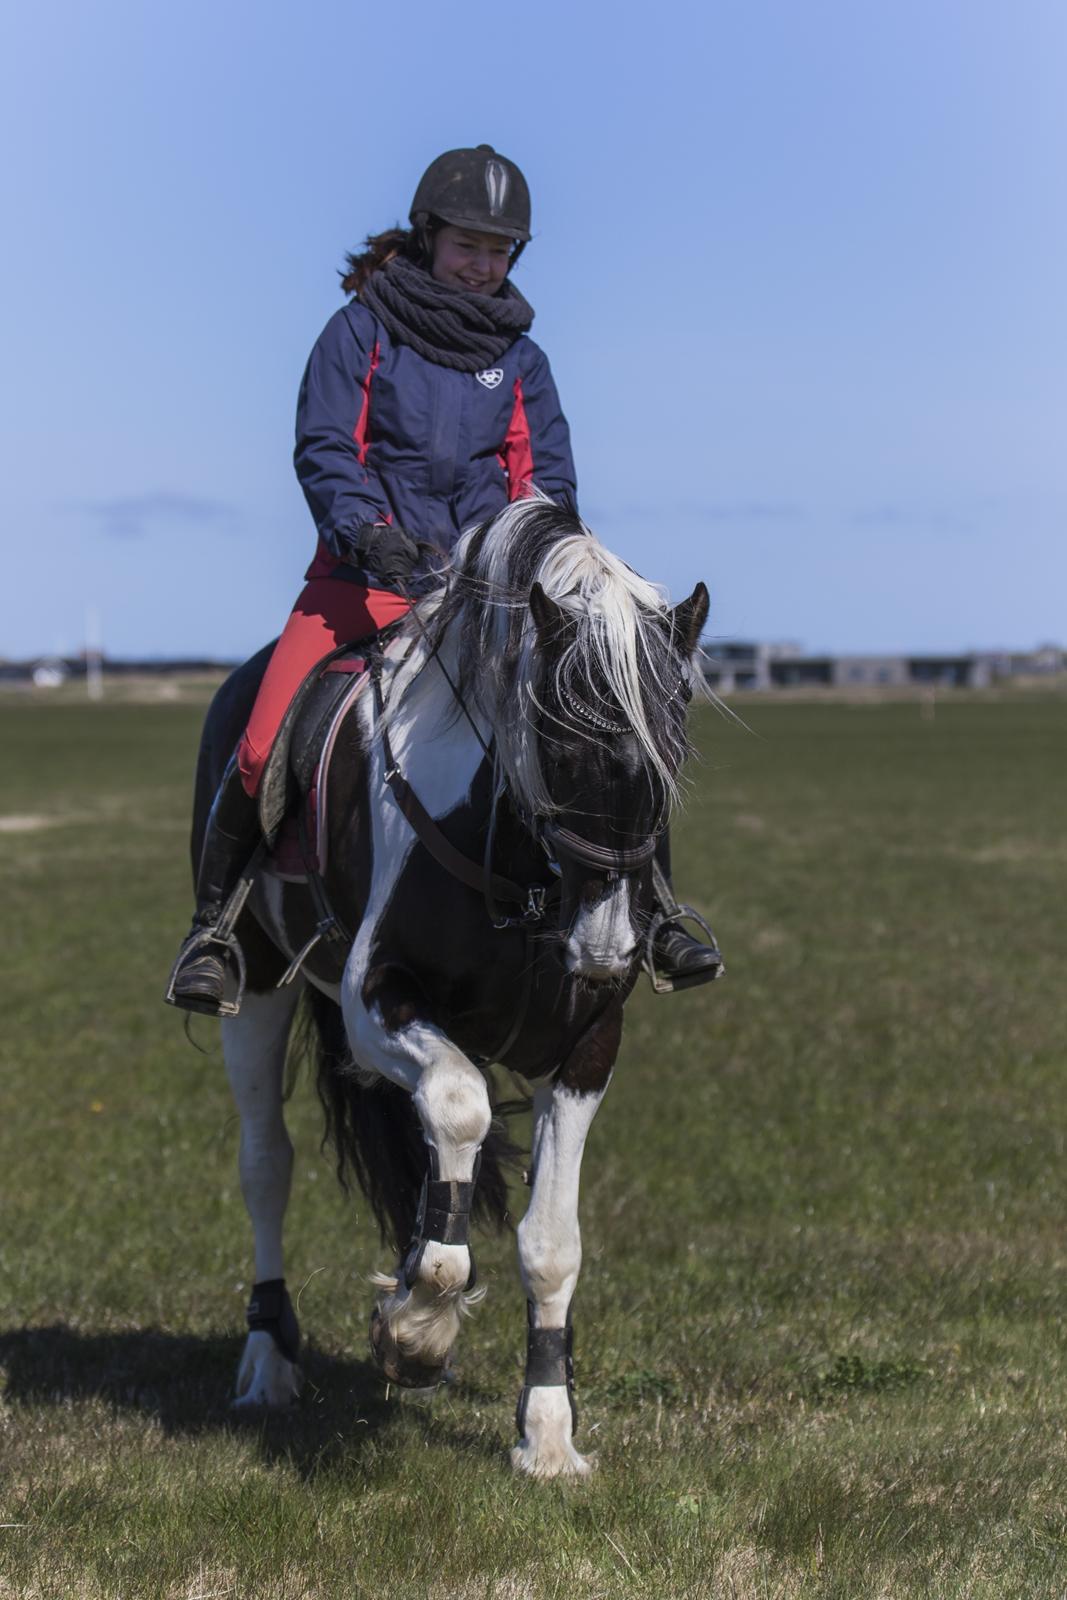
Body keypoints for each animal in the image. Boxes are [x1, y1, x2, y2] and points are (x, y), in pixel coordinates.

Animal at [191, 496, 710, 1472]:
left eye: (674, 751)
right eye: (558, 741)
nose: (605, 944)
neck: (521, 869)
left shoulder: (586, 1045)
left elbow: (549, 1242)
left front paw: (547, 1432)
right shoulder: (376, 1001)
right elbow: (462, 1114)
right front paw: (418, 1328)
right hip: (262, 985)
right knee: (266, 1165)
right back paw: (269, 1358)